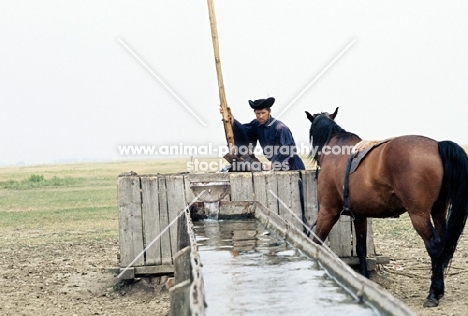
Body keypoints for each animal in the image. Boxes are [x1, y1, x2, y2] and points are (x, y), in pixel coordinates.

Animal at [306, 107, 466, 308]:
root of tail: (437, 145)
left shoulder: (328, 212)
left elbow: (316, 240)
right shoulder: (359, 215)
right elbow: (361, 248)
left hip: (419, 214)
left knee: (434, 247)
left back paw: (433, 294)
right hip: (438, 211)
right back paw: (440, 290)